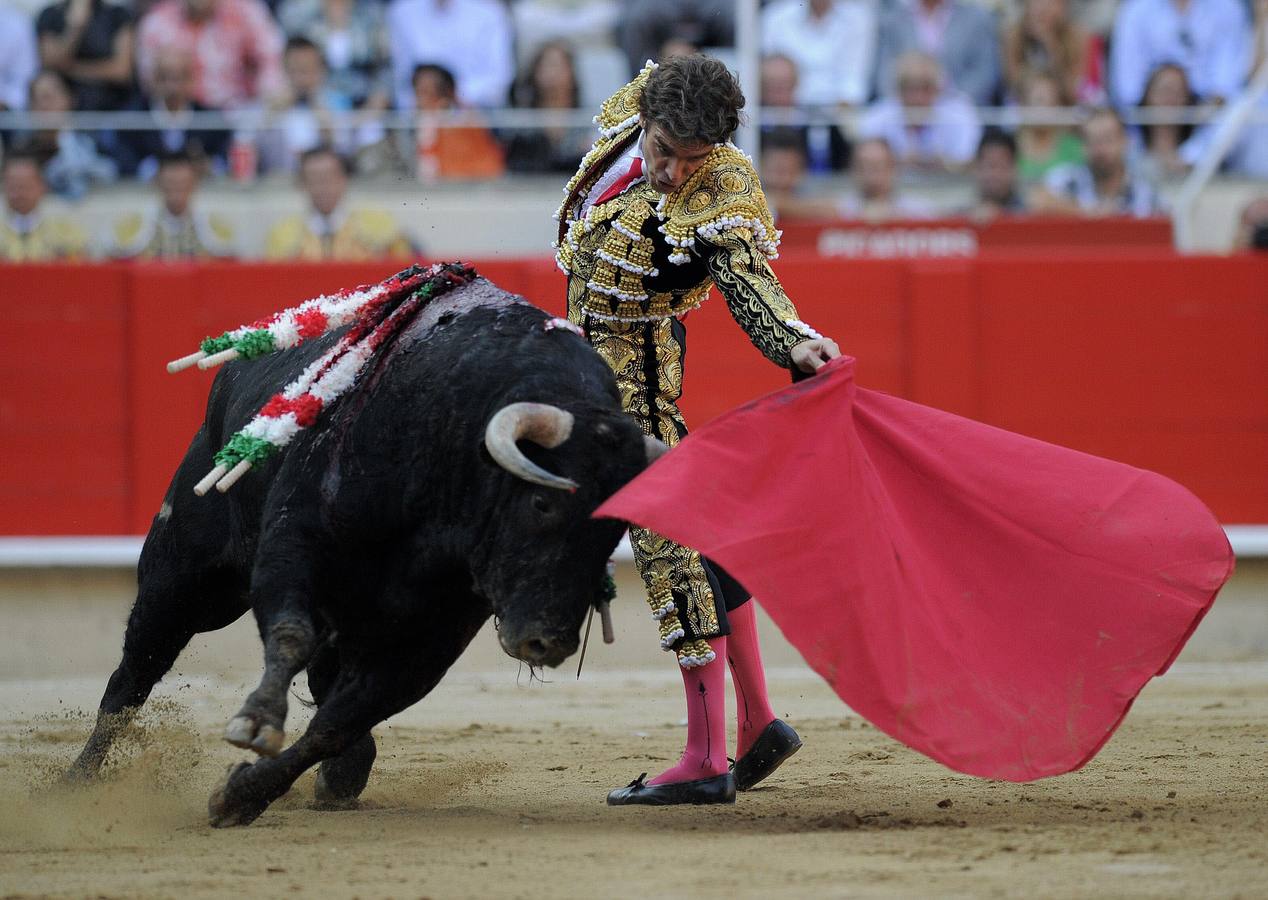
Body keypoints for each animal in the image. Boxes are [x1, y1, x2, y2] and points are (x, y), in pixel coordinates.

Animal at [66, 278, 664, 826]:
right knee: (136, 671)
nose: (548, 641)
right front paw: (256, 723)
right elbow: (290, 636)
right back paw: (75, 782)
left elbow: (337, 723)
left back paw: (343, 775)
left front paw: (242, 795)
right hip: (187, 576)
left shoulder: (435, 634)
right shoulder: (293, 548)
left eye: (613, 532)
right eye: (542, 502)